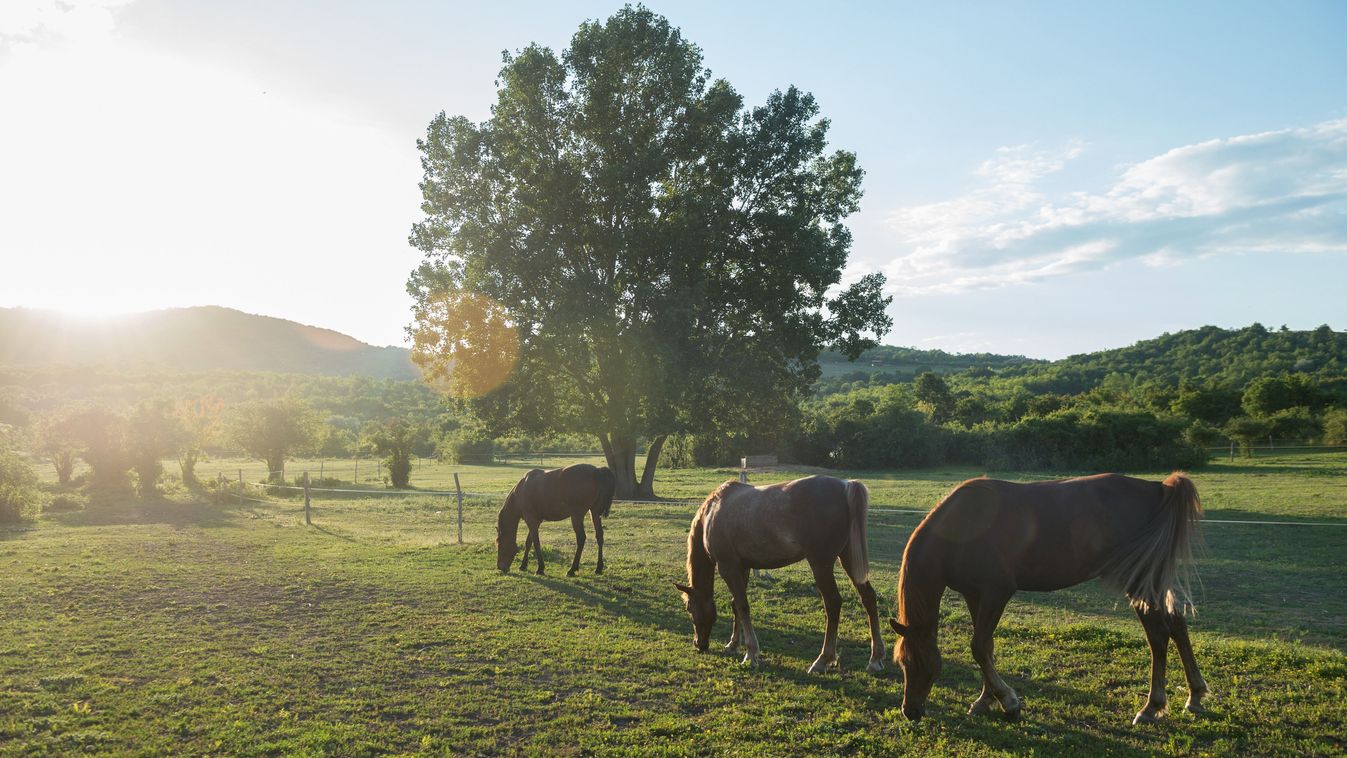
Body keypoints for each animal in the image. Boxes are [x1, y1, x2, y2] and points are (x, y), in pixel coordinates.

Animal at [673, 476, 883, 673]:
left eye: (689, 608)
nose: (699, 645)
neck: (712, 512)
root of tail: (845, 485)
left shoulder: (728, 568)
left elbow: (743, 606)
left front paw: (750, 654)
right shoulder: (742, 567)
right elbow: (735, 606)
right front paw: (733, 644)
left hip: (821, 565)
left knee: (833, 603)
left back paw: (822, 660)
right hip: (849, 558)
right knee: (868, 598)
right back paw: (875, 659)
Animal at [894, 471, 1212, 727]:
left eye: (915, 662)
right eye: (902, 663)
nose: (910, 711)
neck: (960, 528)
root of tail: (1158, 488)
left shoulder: (997, 592)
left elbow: (979, 647)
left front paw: (1009, 702)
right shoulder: (975, 595)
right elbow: (987, 648)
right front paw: (986, 700)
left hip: (1138, 582)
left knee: (1158, 635)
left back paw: (1151, 707)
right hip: (1153, 582)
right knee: (1177, 624)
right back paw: (1195, 695)